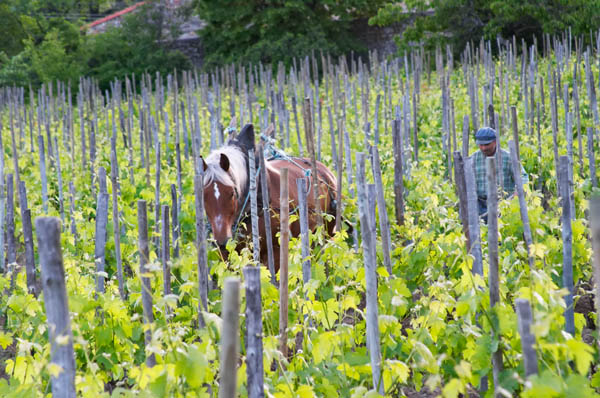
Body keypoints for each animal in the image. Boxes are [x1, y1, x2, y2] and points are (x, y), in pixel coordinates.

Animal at [203, 123, 338, 270]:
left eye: (232, 193)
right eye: (203, 195)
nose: (222, 241)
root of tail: (324, 170)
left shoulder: (275, 250)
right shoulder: (228, 254)